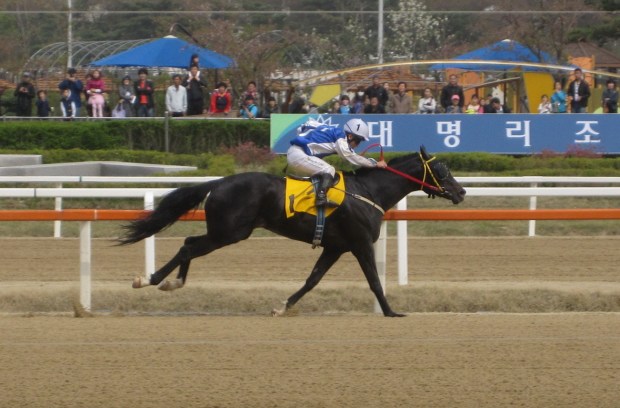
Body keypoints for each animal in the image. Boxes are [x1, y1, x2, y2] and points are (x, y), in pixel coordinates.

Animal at [120, 146, 466, 317]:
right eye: (442, 171)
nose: (461, 192)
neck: (368, 192)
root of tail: (218, 182)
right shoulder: (360, 243)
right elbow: (374, 281)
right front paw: (392, 312)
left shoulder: (335, 247)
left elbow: (312, 280)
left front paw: (282, 306)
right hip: (229, 232)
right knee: (189, 246)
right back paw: (151, 280)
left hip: (225, 231)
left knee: (189, 243)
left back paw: (170, 283)